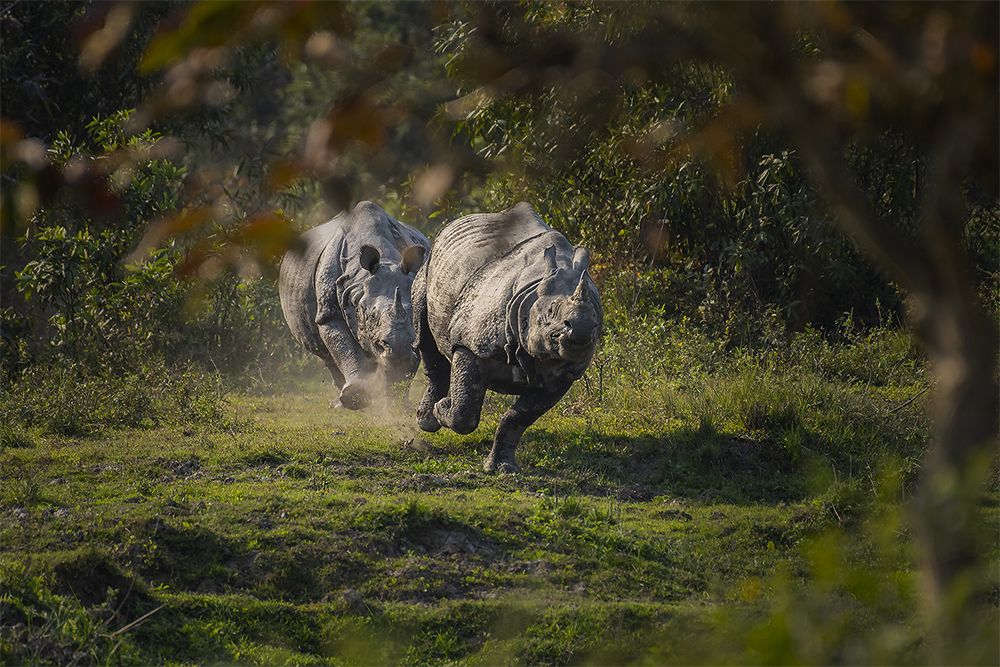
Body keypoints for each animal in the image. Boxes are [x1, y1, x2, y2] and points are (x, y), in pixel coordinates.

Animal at [279, 201, 430, 409]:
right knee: (328, 356)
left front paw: (397, 400)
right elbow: (344, 348)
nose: (397, 347)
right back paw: (341, 402)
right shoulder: (329, 313)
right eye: (372, 315)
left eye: (413, 313)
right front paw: (355, 397)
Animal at [412, 202, 602, 472]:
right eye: (551, 312)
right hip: (428, 267)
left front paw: (502, 468)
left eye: (596, 320)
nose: (581, 330)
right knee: (424, 334)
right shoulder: (472, 345)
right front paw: (444, 408)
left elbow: (516, 419)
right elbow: (465, 413)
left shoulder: (564, 375)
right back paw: (428, 419)